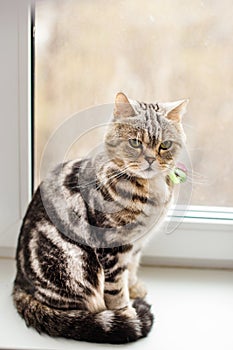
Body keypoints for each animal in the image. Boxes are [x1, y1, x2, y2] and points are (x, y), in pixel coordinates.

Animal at [12, 91, 187, 344]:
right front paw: (126, 312)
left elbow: (131, 268)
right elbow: (116, 289)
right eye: (135, 142)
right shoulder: (112, 245)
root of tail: (20, 283)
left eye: (165, 145)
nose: (151, 160)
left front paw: (135, 288)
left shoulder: (137, 243)